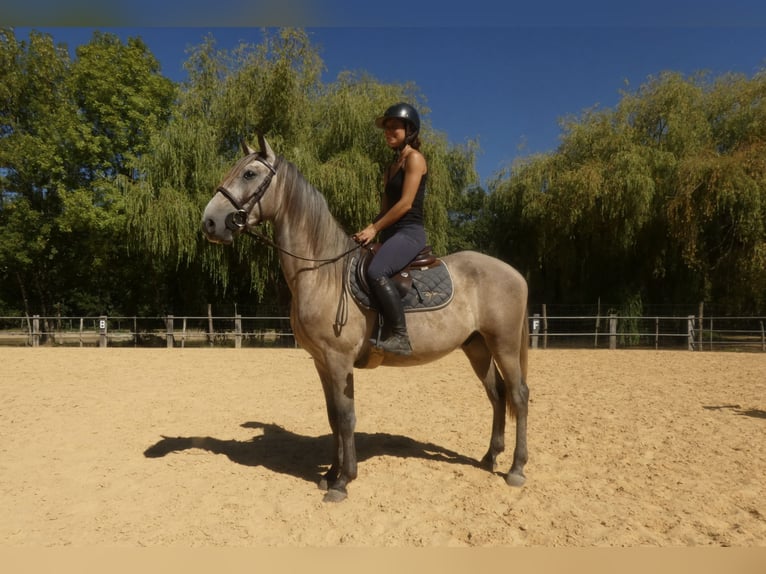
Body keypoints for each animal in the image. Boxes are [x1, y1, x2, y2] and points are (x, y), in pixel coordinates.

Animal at [201, 136, 529, 502]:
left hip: (504, 344)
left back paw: (516, 469)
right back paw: (489, 457)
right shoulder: (321, 362)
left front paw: (343, 481)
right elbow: (333, 417)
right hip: (477, 347)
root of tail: (514, 273)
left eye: (249, 174)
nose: (210, 221)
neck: (322, 272)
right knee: (497, 394)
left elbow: (346, 418)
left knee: (518, 395)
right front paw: (330, 474)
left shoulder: (338, 360)